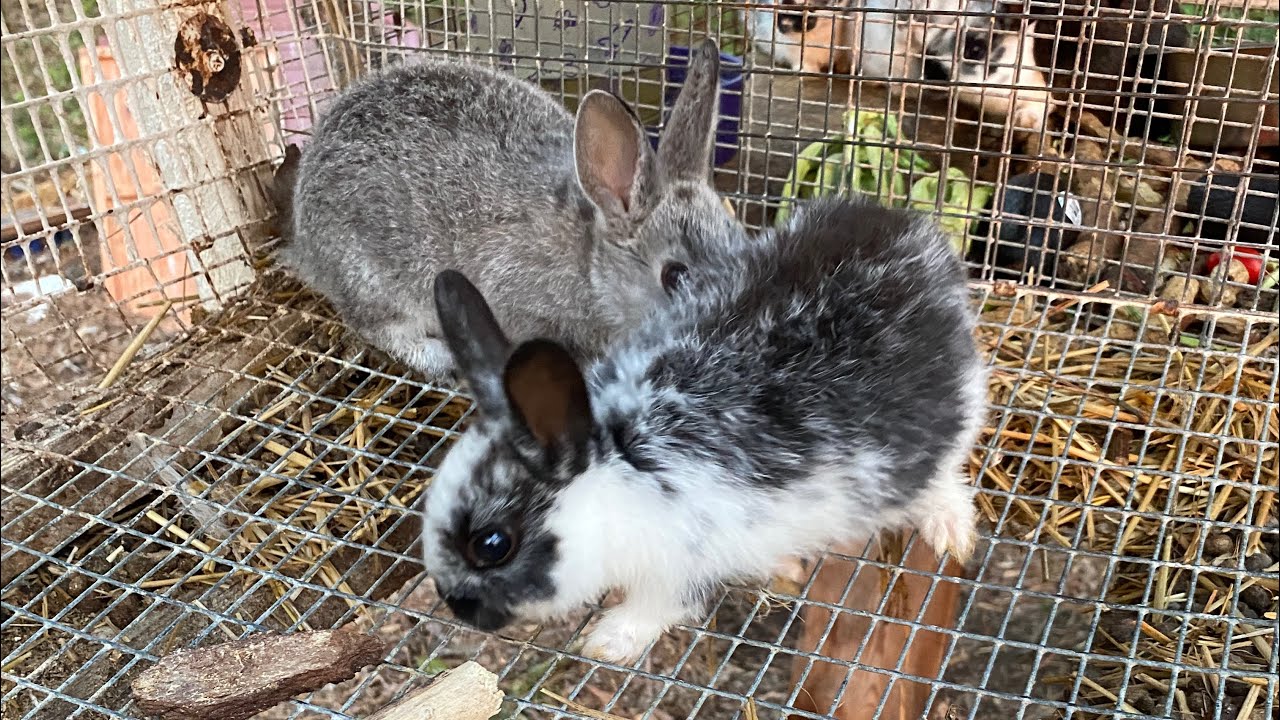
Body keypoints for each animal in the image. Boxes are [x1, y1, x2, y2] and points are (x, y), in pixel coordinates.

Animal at [277, 39, 745, 380]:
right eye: (675, 277)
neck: (589, 266)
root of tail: (305, 245)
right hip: (372, 276)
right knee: (378, 326)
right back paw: (439, 356)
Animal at [421, 194, 987, 664]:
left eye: (493, 544)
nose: (459, 607)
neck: (622, 462)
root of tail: (909, 229)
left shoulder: (682, 563)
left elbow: (662, 606)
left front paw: (609, 640)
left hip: (944, 416)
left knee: (944, 470)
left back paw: (950, 529)